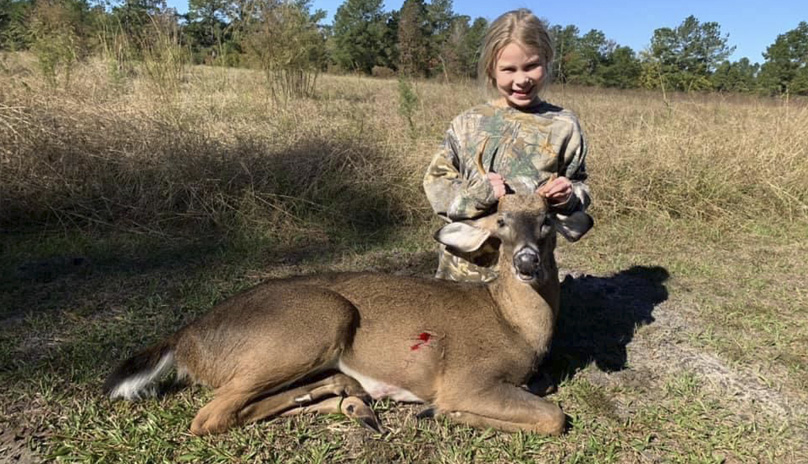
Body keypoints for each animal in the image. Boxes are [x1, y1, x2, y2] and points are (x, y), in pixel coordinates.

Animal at [104, 183, 593, 436]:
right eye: (502, 223)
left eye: (547, 222)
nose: (526, 262)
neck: (515, 326)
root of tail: (184, 338)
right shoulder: (468, 377)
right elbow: (554, 416)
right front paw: (439, 411)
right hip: (317, 322)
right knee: (210, 418)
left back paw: (349, 400)